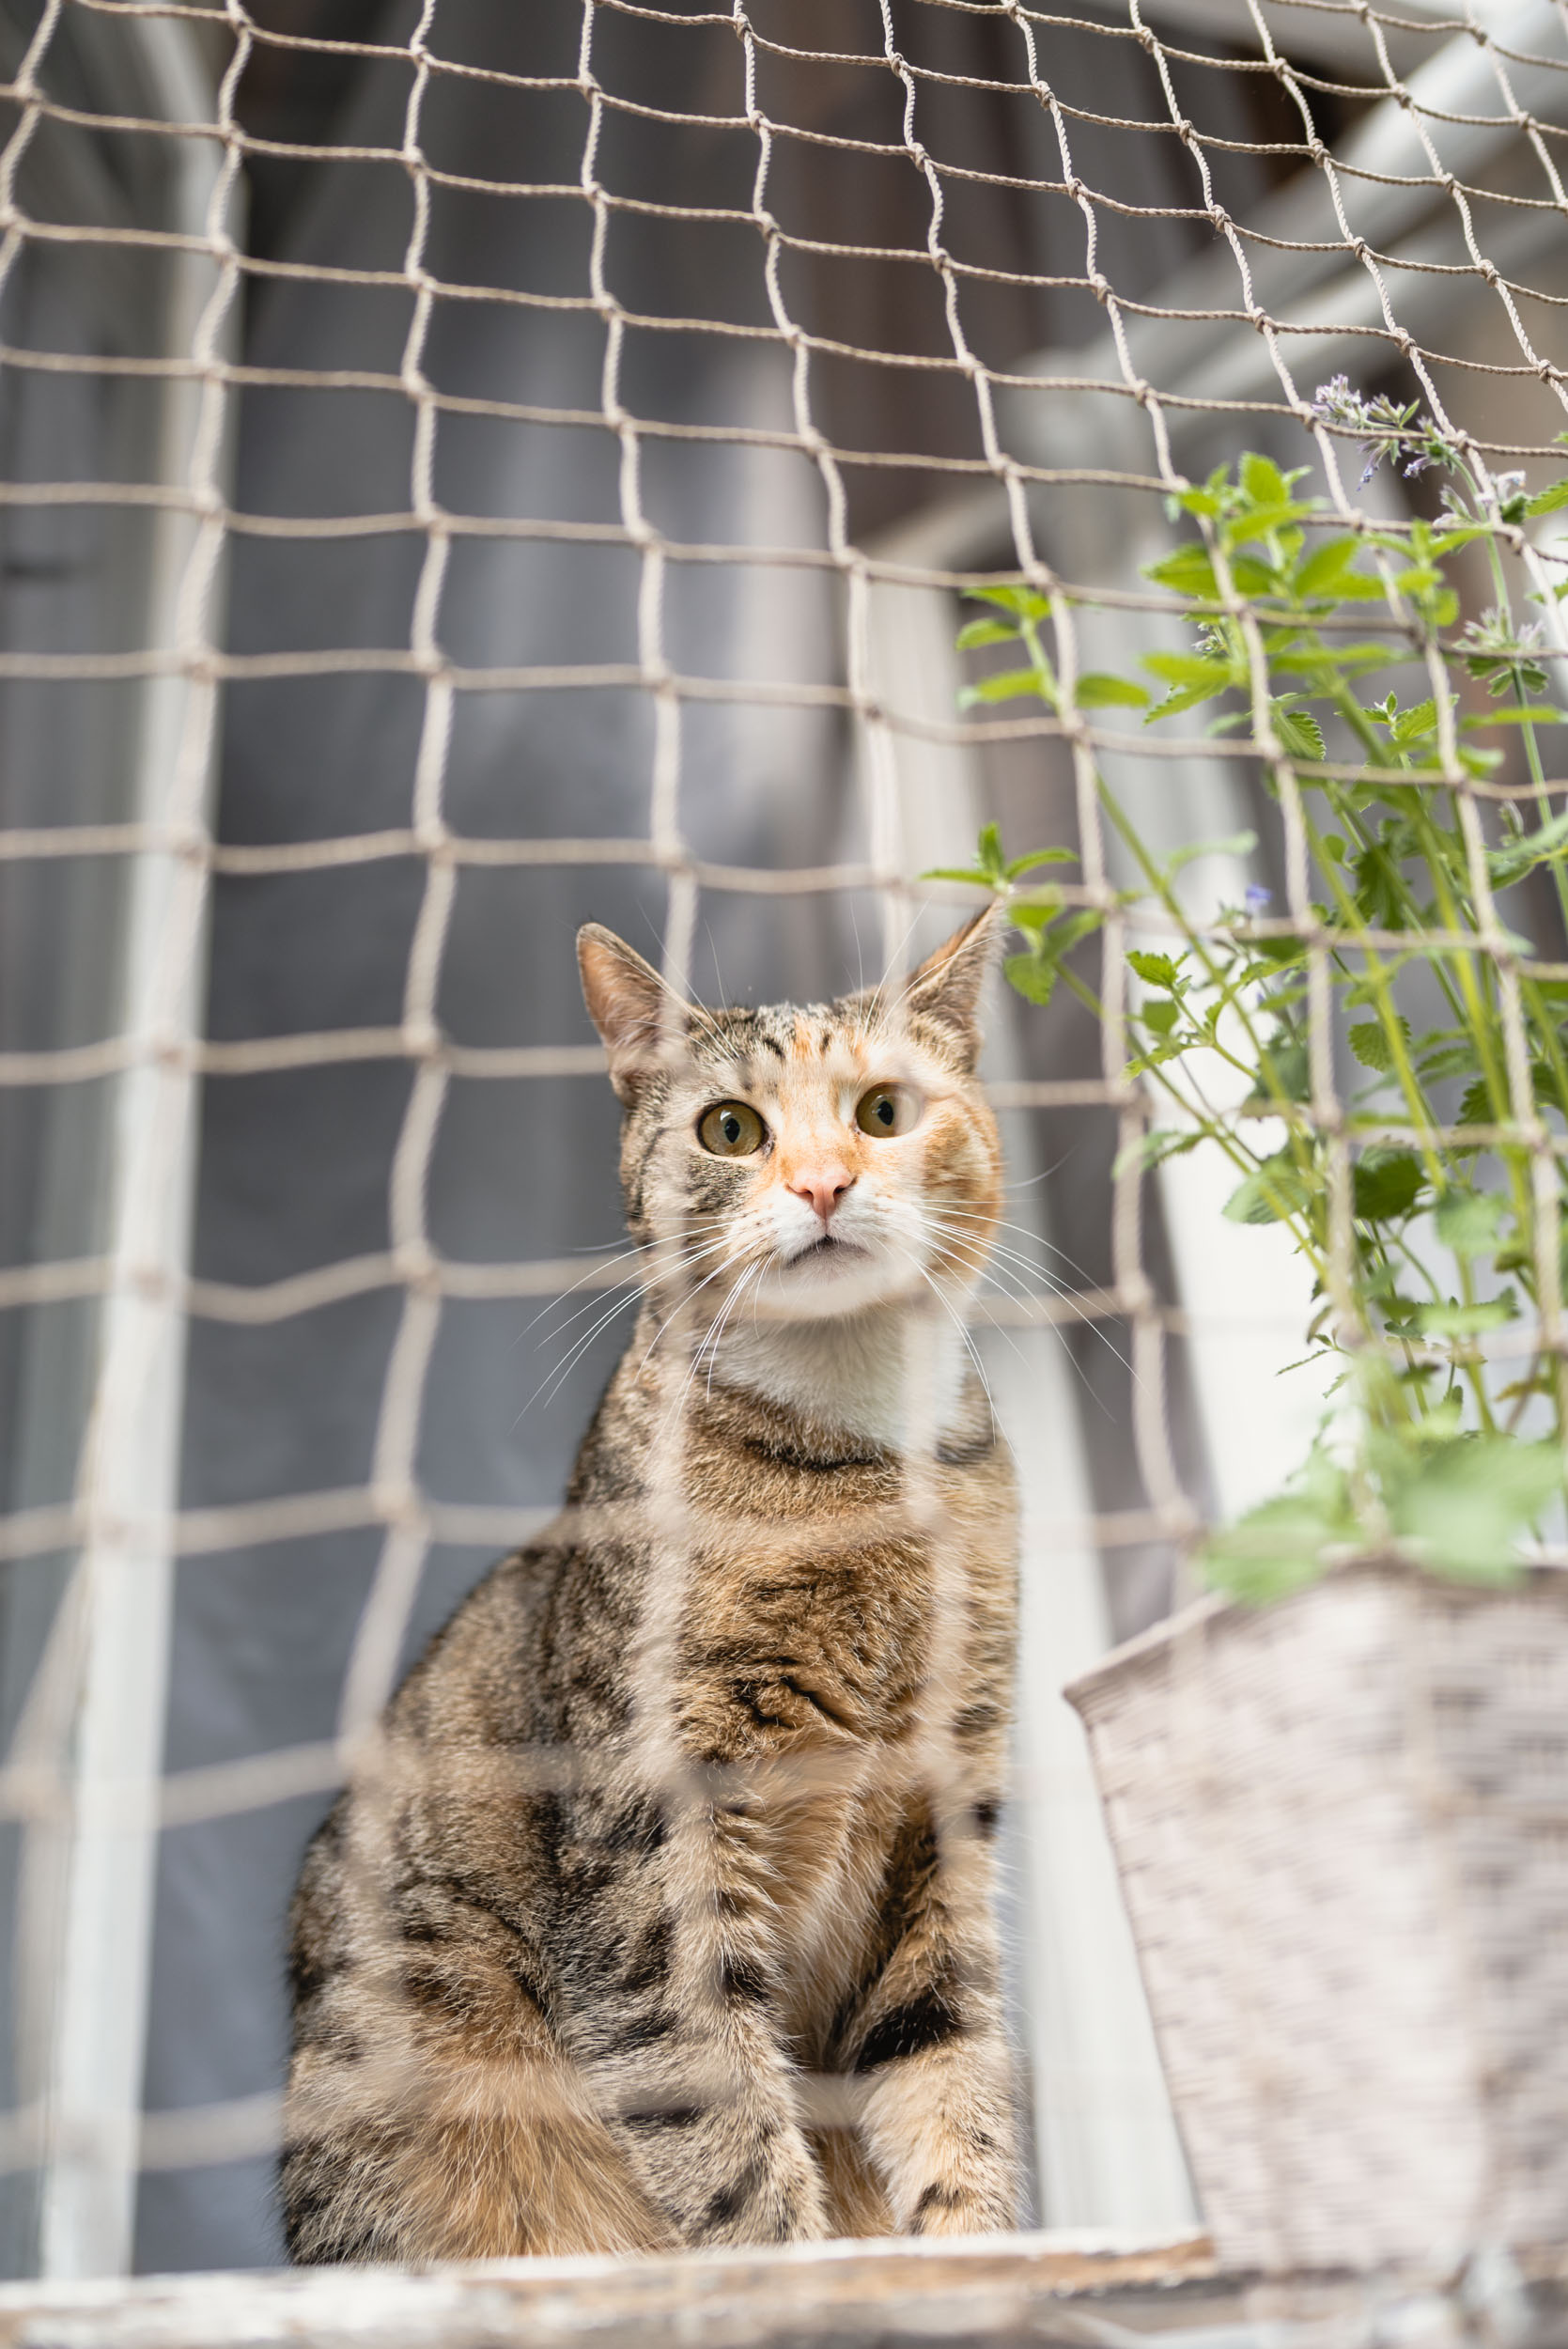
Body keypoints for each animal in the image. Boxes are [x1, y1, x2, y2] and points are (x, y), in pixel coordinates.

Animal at [281, 907, 1023, 2264]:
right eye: (729, 1128)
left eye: (884, 1111)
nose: (822, 1184)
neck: (851, 1470)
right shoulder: (650, 1853)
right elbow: (721, 2124)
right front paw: (807, 2273)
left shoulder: (943, 1831)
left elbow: (952, 2080)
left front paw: (985, 2259)